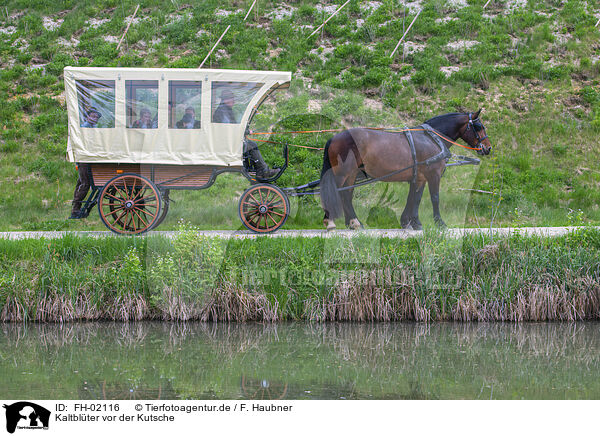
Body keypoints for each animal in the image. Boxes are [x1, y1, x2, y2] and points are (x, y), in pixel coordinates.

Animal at [322, 110, 490, 230]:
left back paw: (353, 223)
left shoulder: (420, 177)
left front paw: (411, 222)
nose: (488, 148)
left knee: (346, 195)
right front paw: (439, 223)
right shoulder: (433, 175)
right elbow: (434, 197)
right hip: (342, 173)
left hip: (351, 174)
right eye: (478, 127)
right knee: (337, 193)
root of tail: (334, 138)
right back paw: (334, 221)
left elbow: (415, 198)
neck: (431, 139)